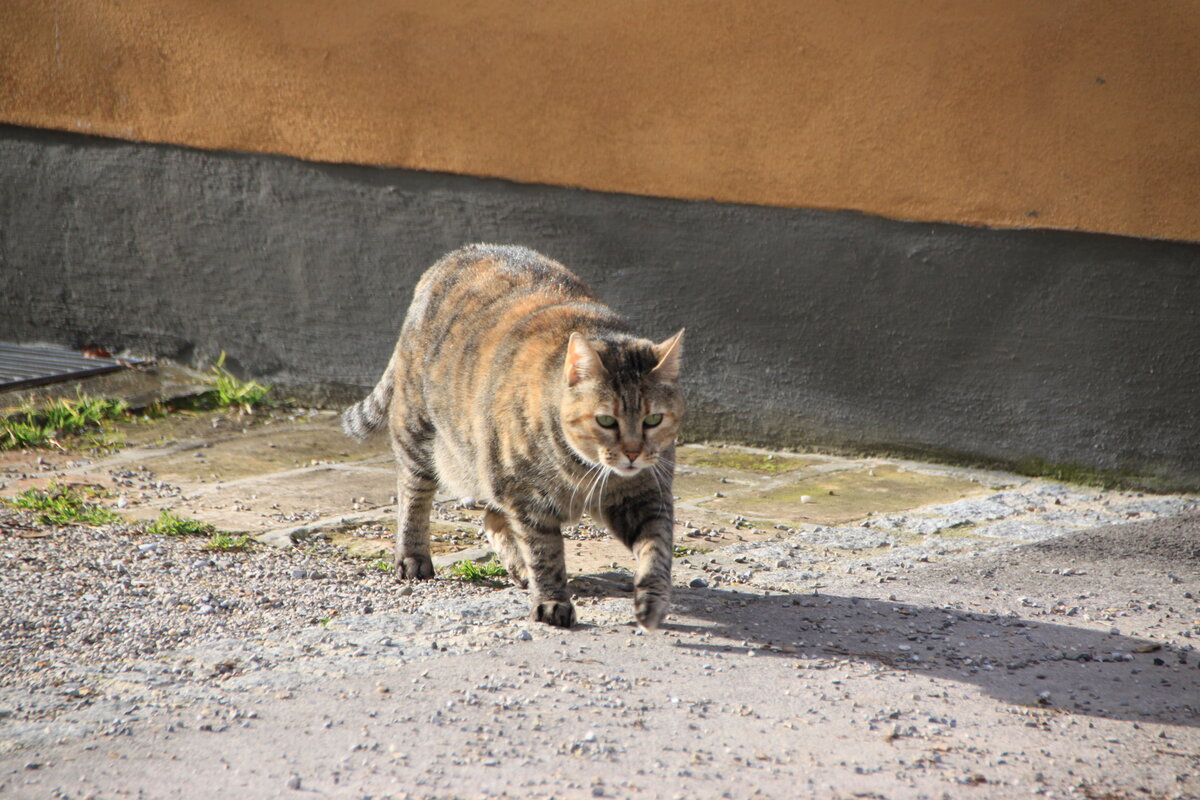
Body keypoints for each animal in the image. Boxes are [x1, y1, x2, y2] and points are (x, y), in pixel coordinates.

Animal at [343, 245, 691, 633]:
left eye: (653, 419)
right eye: (606, 420)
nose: (632, 452)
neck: (582, 470)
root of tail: (456, 254)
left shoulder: (645, 494)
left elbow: (657, 547)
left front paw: (652, 599)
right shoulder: (528, 497)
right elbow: (546, 553)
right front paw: (552, 601)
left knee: (491, 517)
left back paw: (518, 567)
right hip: (420, 431)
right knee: (413, 493)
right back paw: (413, 557)